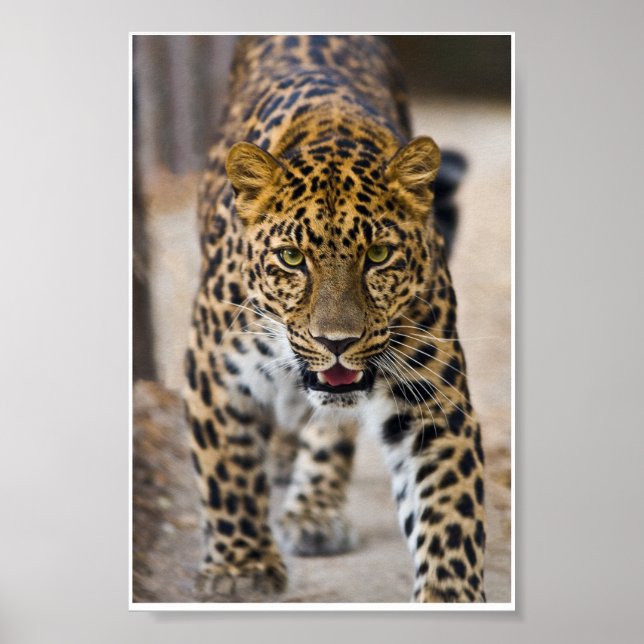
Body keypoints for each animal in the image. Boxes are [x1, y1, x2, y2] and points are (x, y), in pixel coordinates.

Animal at [184, 34, 486, 603]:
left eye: (379, 255)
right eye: (292, 258)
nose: (337, 341)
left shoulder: (434, 403)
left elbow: (449, 514)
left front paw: (450, 596)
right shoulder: (213, 368)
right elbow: (228, 470)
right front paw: (240, 566)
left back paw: (313, 509)